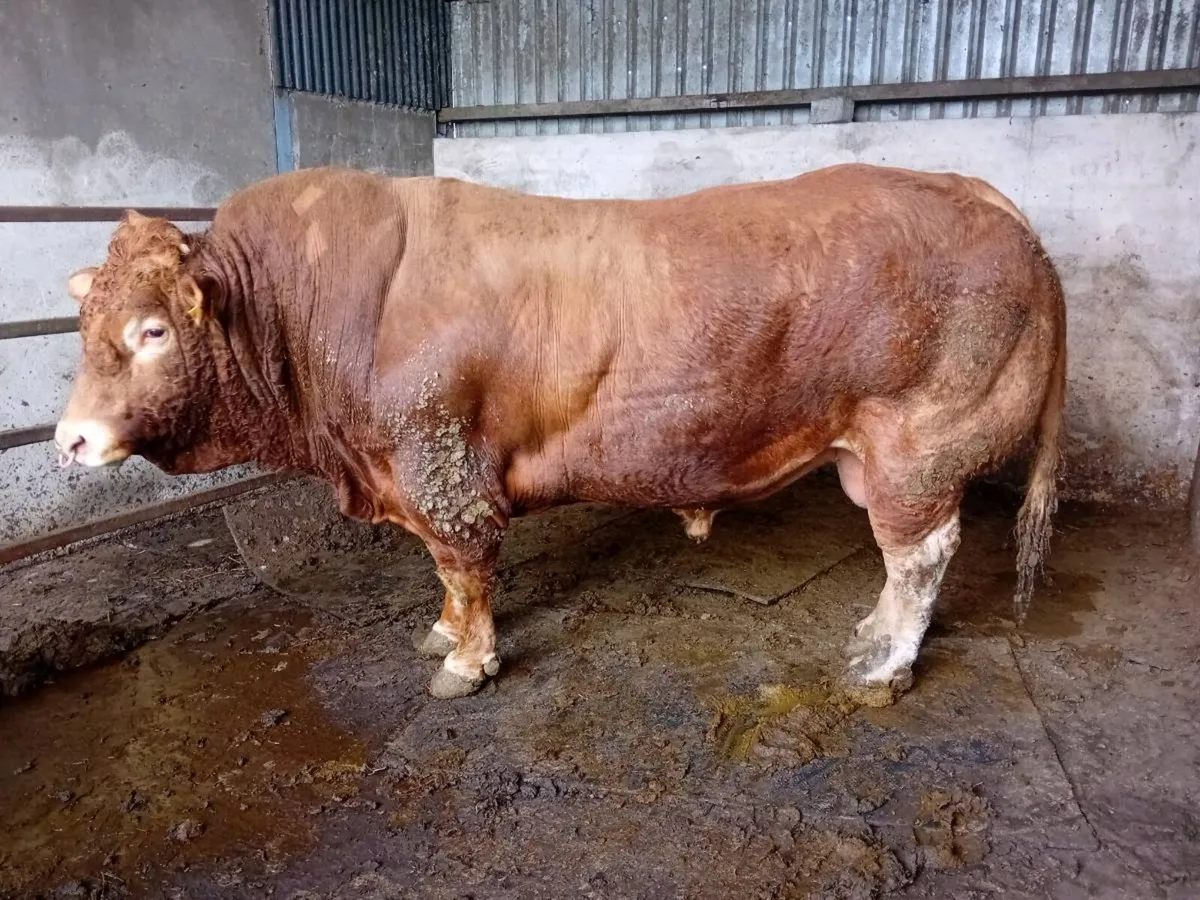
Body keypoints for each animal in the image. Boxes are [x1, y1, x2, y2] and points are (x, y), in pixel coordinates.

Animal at [55, 163, 1066, 700]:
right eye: (84, 323)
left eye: (152, 331)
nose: (67, 439)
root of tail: (980, 194)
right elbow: (446, 580)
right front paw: (440, 634)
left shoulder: (442, 466)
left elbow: (466, 569)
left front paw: (467, 663)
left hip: (918, 449)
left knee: (921, 555)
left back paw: (882, 661)